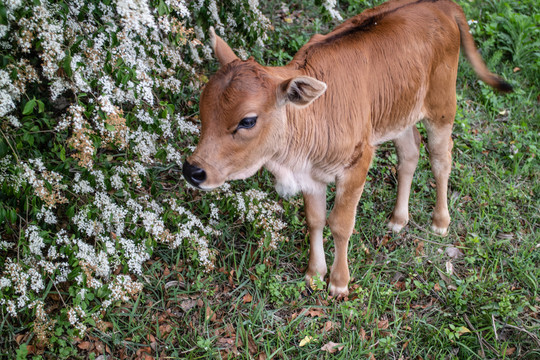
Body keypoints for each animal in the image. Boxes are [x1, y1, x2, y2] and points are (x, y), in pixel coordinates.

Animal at [181, 0, 510, 296]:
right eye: (203, 109)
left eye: (247, 120)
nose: (193, 170)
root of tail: (440, 5)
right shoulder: (311, 175)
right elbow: (315, 220)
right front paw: (315, 273)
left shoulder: (357, 162)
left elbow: (340, 223)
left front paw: (339, 282)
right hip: (398, 112)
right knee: (410, 153)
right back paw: (398, 219)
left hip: (442, 106)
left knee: (441, 158)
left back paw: (440, 221)